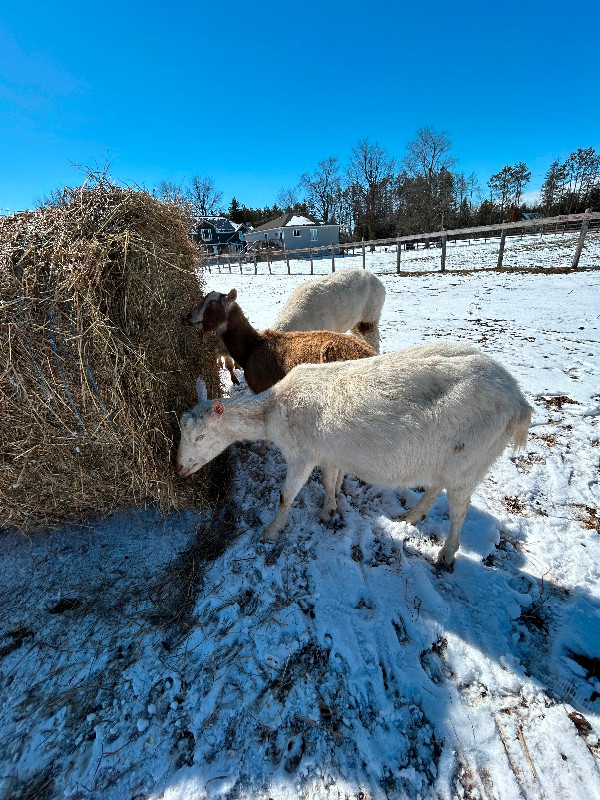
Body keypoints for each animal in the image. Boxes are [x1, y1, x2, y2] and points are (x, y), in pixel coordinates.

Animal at [176, 346, 532, 568]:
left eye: (201, 436)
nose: (179, 468)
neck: (273, 408)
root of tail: (518, 402)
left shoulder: (302, 454)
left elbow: (286, 495)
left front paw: (272, 531)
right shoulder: (329, 452)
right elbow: (330, 479)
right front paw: (328, 510)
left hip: (471, 457)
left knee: (459, 508)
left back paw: (445, 555)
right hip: (451, 459)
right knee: (436, 486)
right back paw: (411, 517)